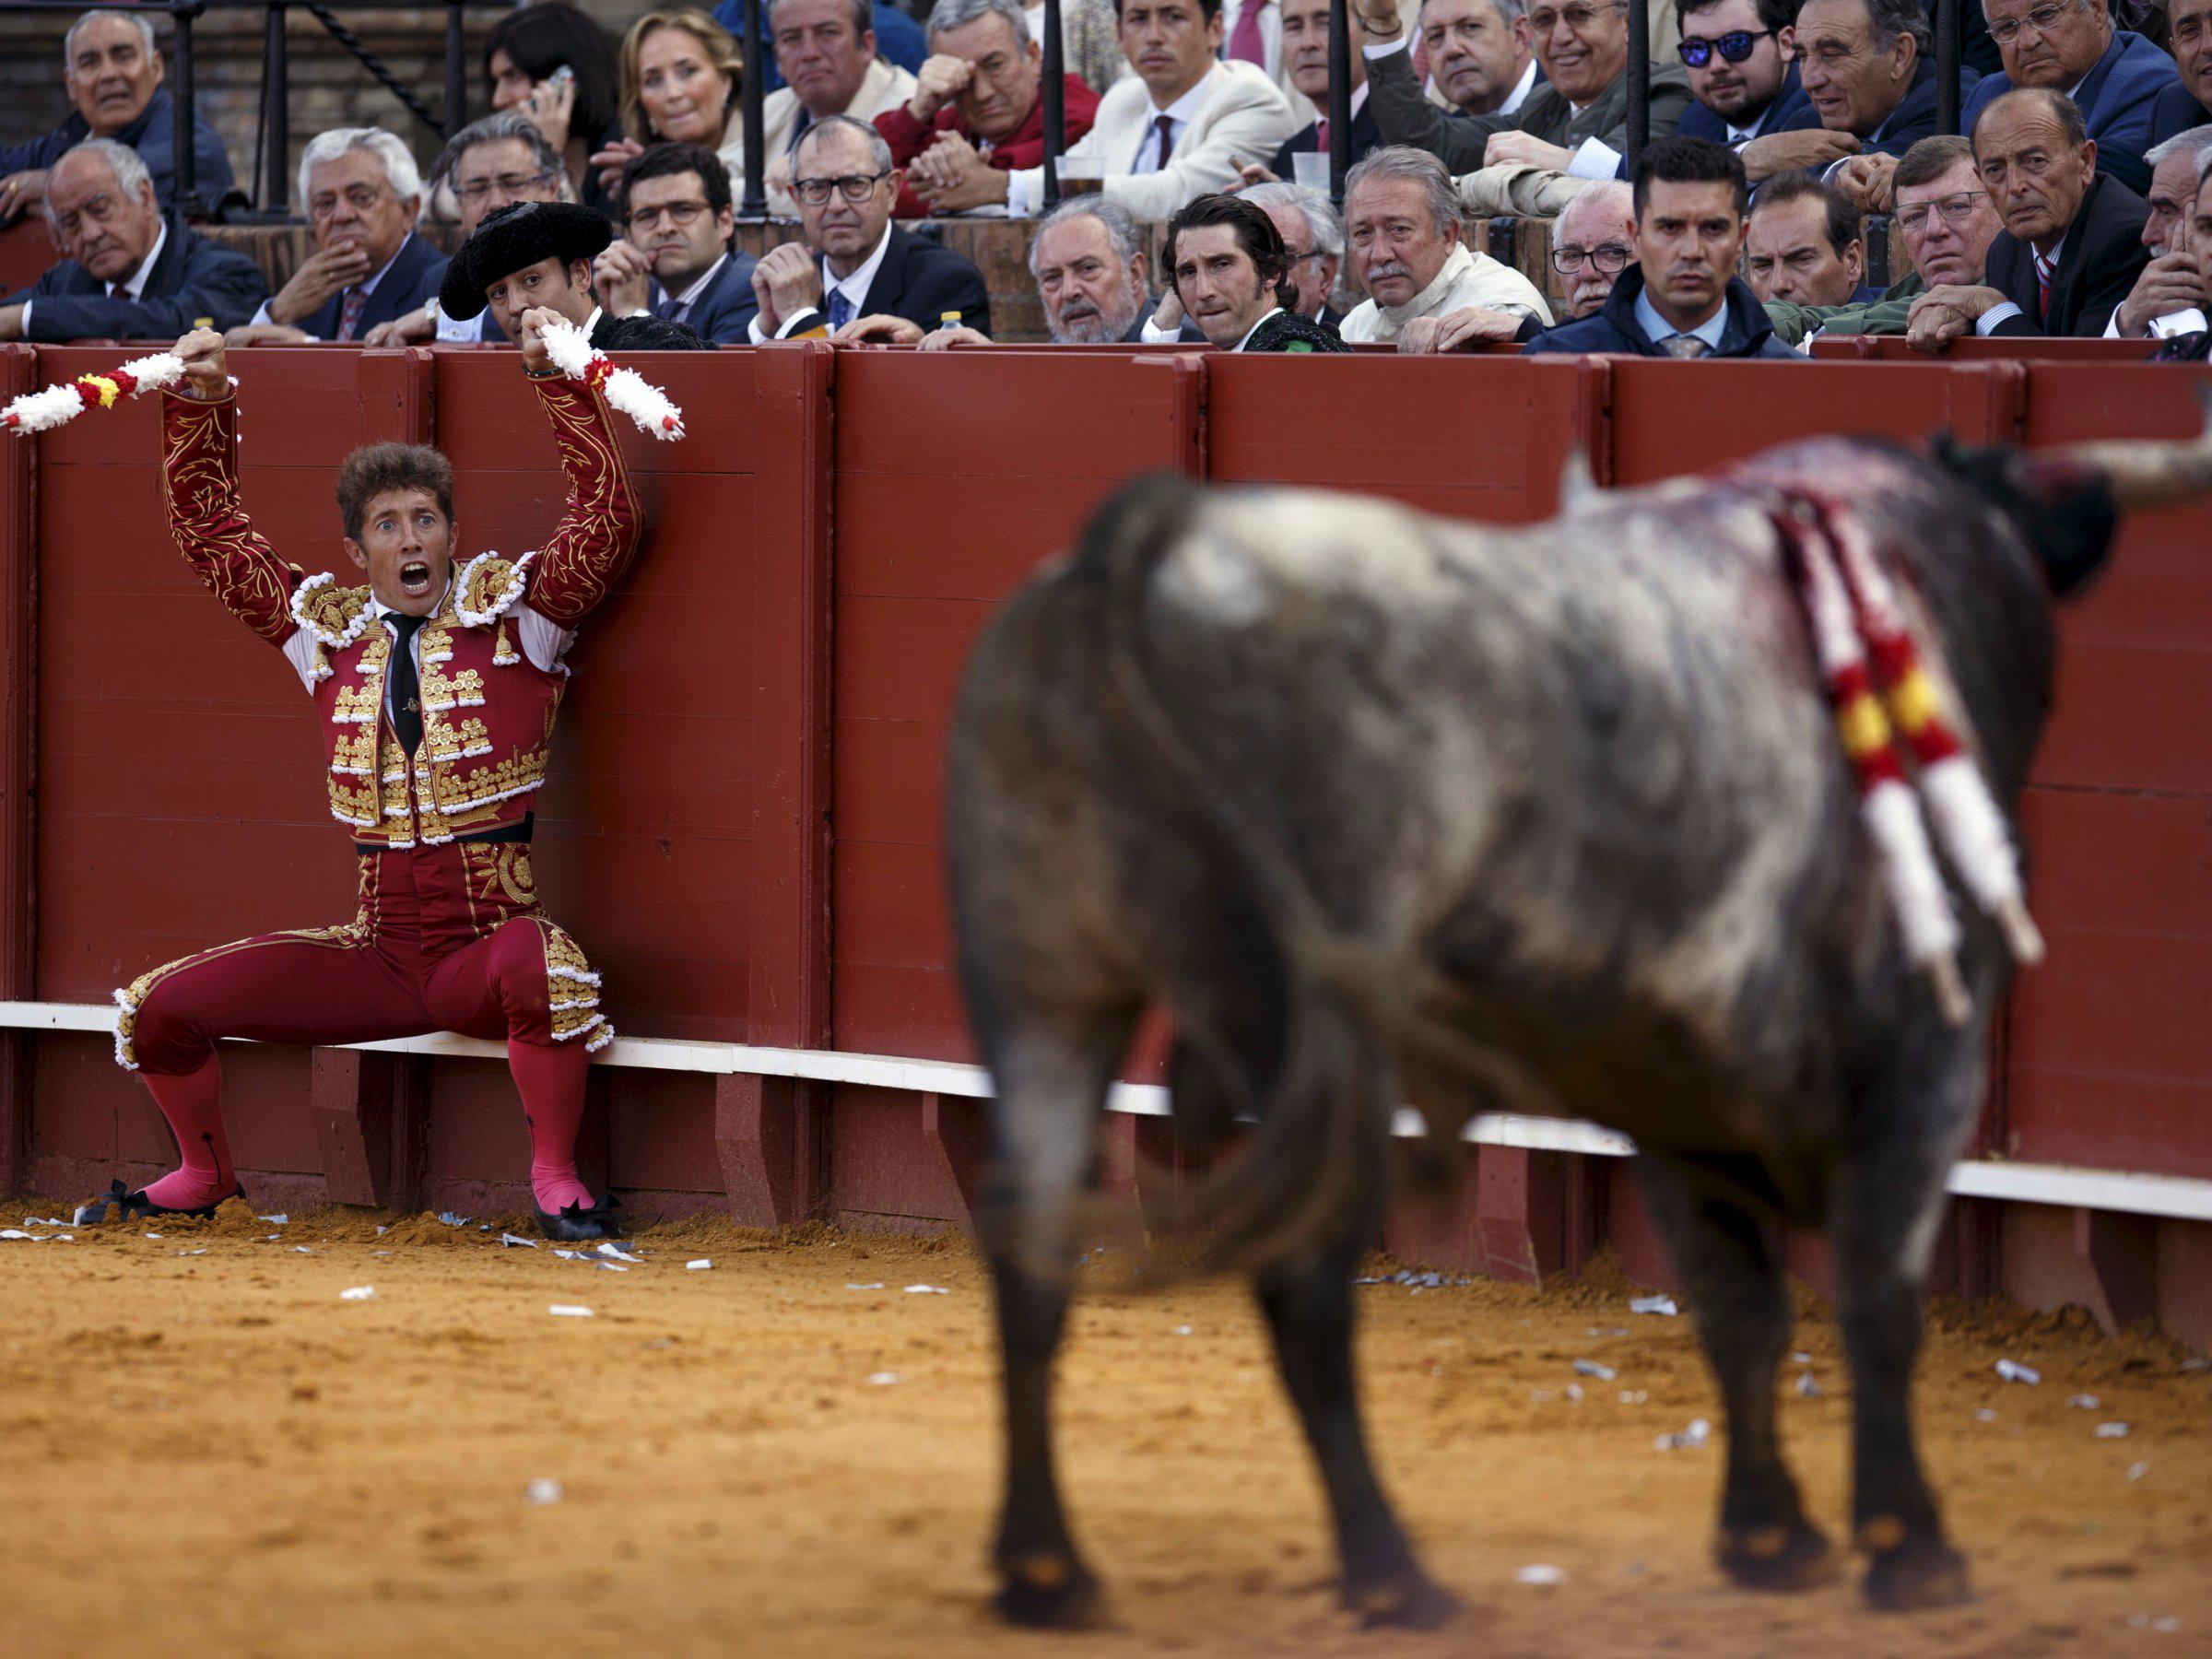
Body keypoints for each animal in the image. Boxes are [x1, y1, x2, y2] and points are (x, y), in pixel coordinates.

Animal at [937, 418, 2212, 1637]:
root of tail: (1140, 552)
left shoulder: (1675, 1097)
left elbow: (1740, 1310)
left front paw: (1770, 1540)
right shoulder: (1922, 1064)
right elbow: (1875, 1300)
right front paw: (1910, 1551)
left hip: (1045, 995)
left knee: (1031, 1248)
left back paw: (1047, 1573)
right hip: (1311, 1044)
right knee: (1299, 1272)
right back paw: (1393, 1579)